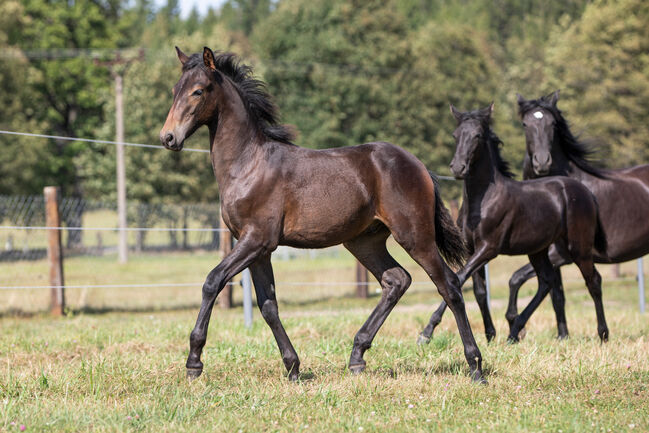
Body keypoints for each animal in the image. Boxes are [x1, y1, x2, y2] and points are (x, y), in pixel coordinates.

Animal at [161, 47, 486, 382]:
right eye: (174, 90)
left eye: (198, 91)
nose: (168, 137)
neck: (249, 164)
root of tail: (418, 165)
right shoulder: (258, 249)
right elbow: (268, 305)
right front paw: (293, 366)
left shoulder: (257, 240)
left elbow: (212, 281)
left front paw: (194, 362)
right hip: (364, 241)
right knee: (396, 280)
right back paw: (357, 356)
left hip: (415, 235)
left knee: (449, 285)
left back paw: (475, 365)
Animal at [416, 104, 608, 340]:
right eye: (455, 135)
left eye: (477, 136)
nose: (458, 168)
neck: (483, 199)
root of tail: (586, 192)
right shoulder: (471, 250)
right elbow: (479, 291)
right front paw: (490, 333)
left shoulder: (489, 248)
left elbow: (458, 278)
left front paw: (427, 330)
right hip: (538, 249)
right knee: (546, 281)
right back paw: (514, 330)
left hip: (579, 247)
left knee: (593, 281)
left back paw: (603, 334)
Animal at [506, 91, 648, 338]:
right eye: (525, 124)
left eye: (553, 124)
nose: (542, 162)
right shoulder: (554, 258)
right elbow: (555, 295)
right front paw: (562, 336)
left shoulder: (561, 255)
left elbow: (518, 278)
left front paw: (515, 324)